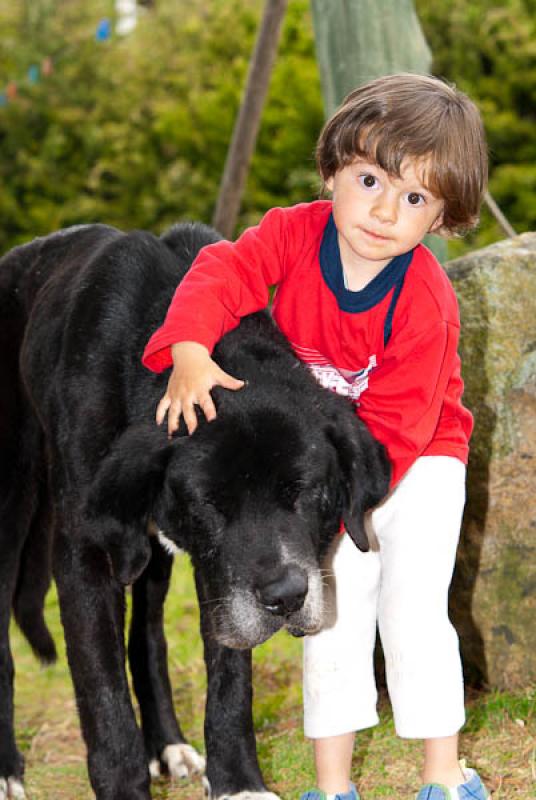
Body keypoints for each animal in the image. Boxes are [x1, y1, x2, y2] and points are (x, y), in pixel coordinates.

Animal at [0, 220, 390, 800]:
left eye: (305, 490)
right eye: (210, 503)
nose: (285, 598)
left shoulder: (218, 570)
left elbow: (229, 679)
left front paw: (238, 782)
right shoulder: (87, 555)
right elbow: (103, 695)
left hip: (148, 557)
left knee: (147, 641)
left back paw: (167, 745)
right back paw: (6, 766)